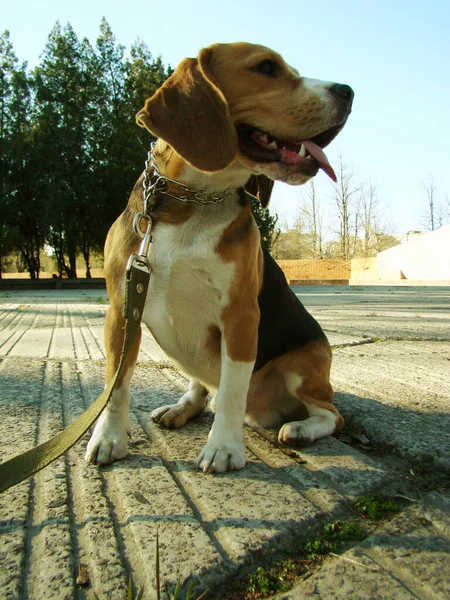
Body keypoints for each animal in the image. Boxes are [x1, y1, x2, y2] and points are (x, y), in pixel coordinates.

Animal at [83, 42, 352, 474]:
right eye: (267, 67)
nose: (348, 92)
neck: (195, 200)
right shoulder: (123, 310)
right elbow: (117, 384)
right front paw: (108, 438)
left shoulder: (240, 318)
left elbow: (229, 393)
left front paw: (224, 447)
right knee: (200, 386)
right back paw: (182, 407)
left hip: (303, 365)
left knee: (331, 414)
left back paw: (300, 429)